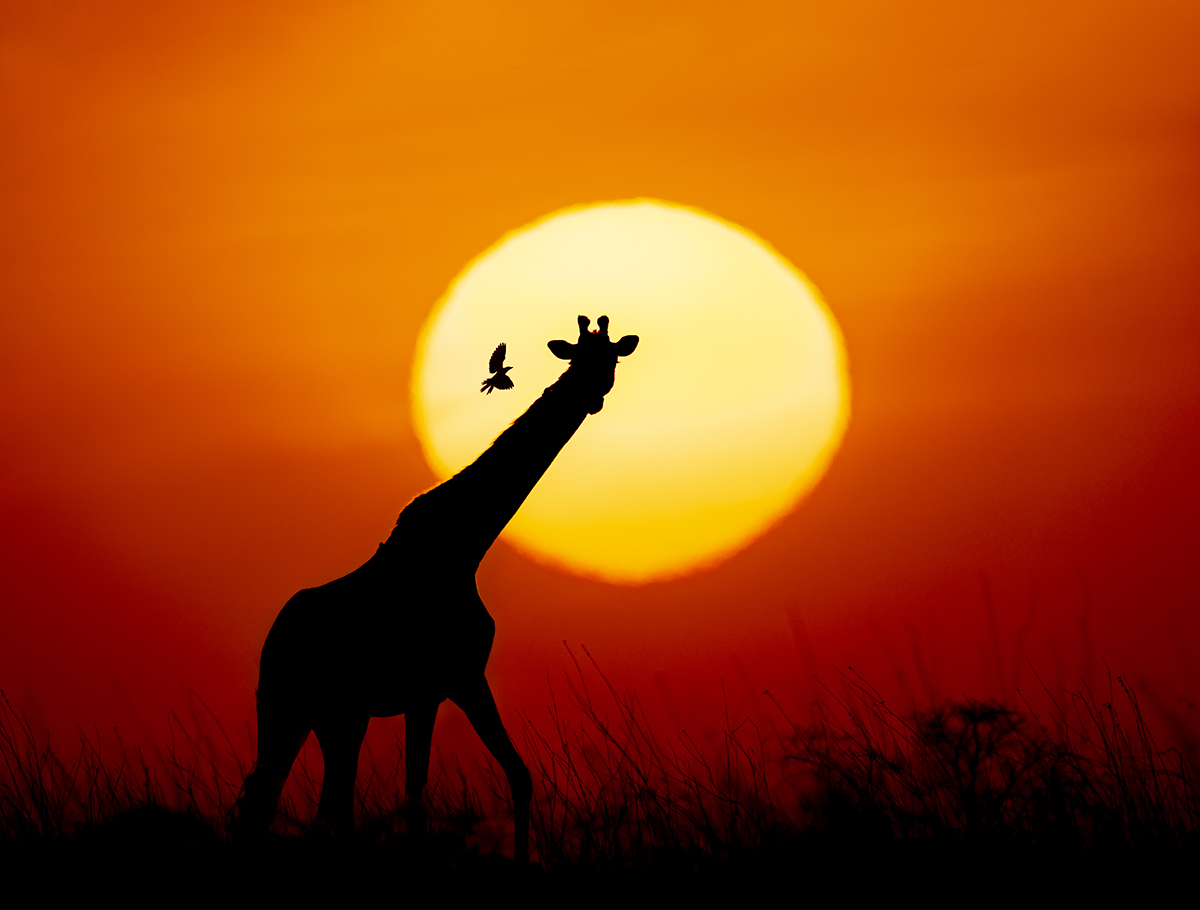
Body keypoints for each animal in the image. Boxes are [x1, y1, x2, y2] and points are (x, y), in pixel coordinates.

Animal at [234, 315, 639, 863]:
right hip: (323, 710)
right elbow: (477, 783)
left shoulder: (429, 692)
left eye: (611, 358)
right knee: (317, 804)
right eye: (576, 358)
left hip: (305, 712)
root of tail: (273, 640)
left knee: (275, 800)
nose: (590, 394)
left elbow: (472, 783)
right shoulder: (460, 677)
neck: (464, 545)